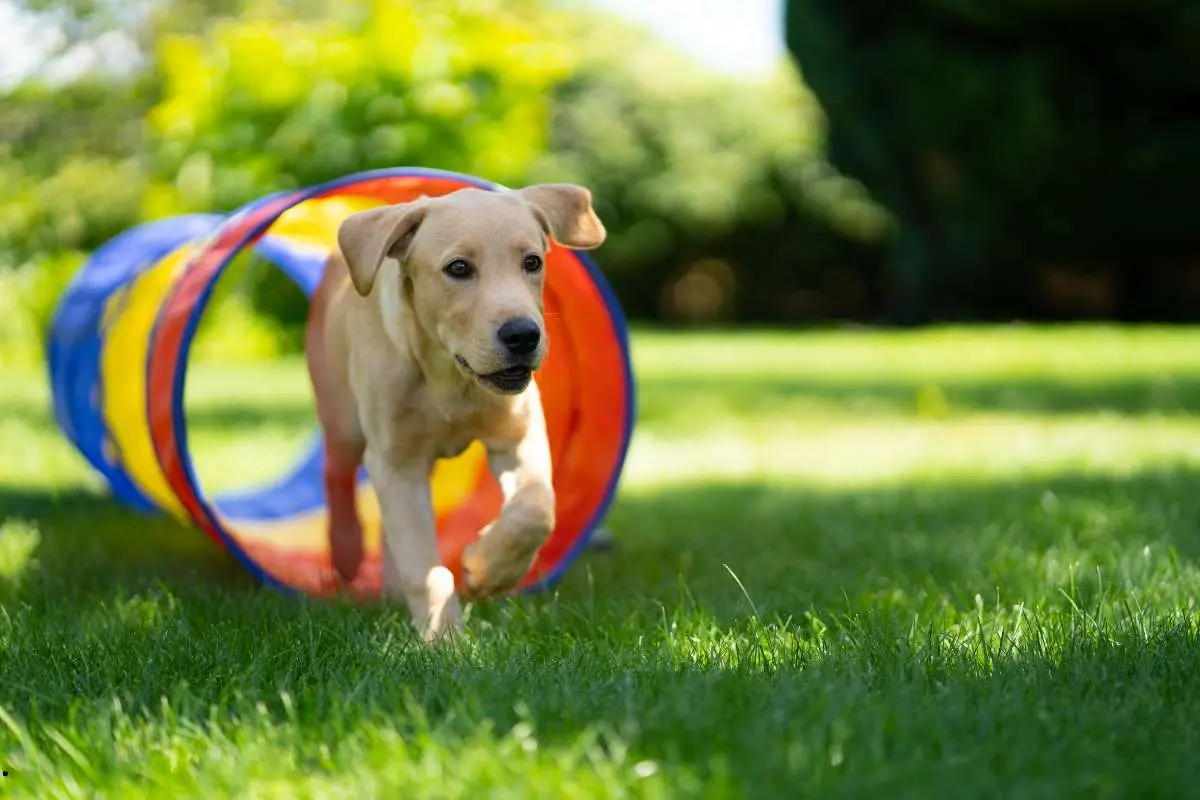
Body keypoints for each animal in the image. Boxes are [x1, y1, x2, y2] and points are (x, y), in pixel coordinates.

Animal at [307, 184, 609, 642]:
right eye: (459, 268)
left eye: (532, 262)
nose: (523, 335)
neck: (449, 375)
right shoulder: (395, 459)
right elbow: (424, 567)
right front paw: (444, 639)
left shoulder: (517, 437)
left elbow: (535, 510)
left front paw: (485, 571)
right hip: (343, 416)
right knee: (336, 473)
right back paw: (346, 552)